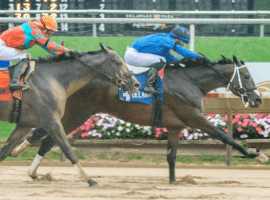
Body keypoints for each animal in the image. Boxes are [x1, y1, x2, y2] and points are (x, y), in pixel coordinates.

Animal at [0, 43, 139, 186]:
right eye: (119, 62)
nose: (136, 84)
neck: (52, 78)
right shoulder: (52, 122)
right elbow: (68, 150)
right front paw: (88, 179)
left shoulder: (24, 124)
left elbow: (5, 151)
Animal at [11, 55, 268, 186]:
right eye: (246, 75)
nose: (257, 99)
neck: (190, 81)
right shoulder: (194, 117)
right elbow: (226, 137)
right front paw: (256, 154)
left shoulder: (175, 126)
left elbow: (172, 156)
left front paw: (173, 181)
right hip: (77, 114)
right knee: (47, 138)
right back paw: (26, 160)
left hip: (74, 115)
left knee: (46, 138)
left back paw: (29, 167)